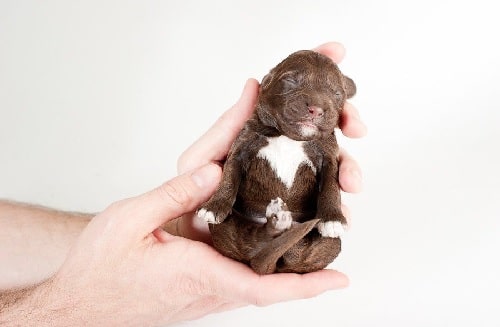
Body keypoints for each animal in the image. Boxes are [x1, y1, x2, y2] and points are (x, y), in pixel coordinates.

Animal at [196, 50, 356, 276]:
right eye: (290, 81)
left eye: (337, 94)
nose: (315, 109)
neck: (287, 137)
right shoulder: (241, 147)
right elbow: (228, 176)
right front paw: (214, 206)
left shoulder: (329, 158)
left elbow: (331, 188)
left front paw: (332, 219)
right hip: (225, 228)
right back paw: (276, 223)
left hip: (330, 244)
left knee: (295, 256)